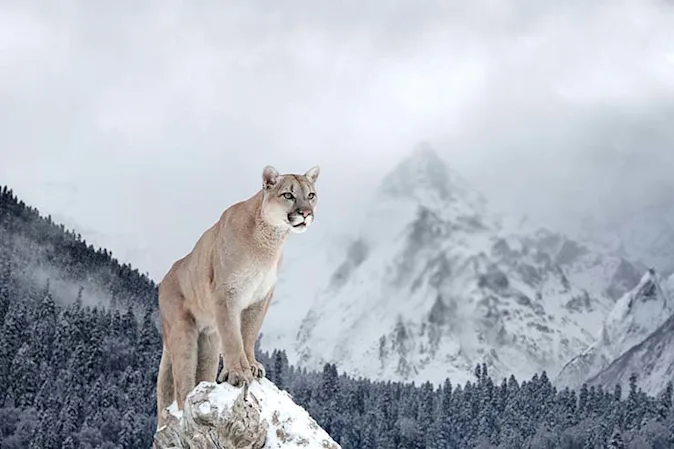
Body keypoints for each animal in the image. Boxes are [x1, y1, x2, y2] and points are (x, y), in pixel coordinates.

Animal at [155, 165, 320, 428]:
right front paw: (238, 373)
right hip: (183, 332)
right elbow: (233, 336)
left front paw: (251, 366)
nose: (305, 213)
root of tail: (165, 278)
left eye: (311, 195)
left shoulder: (261, 297)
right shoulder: (227, 293)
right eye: (288, 195)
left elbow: (249, 333)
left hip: (209, 341)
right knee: (181, 383)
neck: (269, 241)